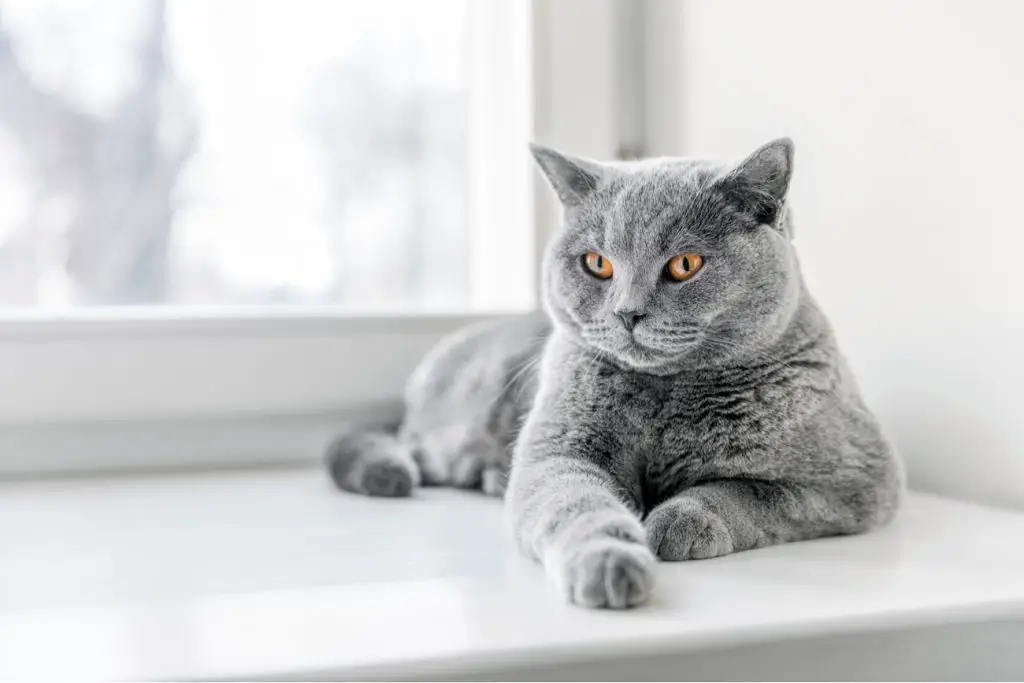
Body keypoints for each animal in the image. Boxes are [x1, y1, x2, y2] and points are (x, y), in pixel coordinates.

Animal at [327, 137, 905, 610]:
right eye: (597, 264)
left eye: (685, 264)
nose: (627, 313)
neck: (668, 397)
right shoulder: (558, 453)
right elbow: (577, 505)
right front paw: (610, 563)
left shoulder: (856, 481)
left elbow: (750, 491)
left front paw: (677, 520)